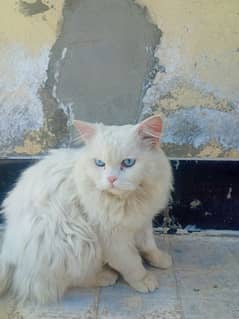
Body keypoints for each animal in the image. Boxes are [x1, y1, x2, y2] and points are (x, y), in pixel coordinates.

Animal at [0, 115, 173, 304]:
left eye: (128, 163)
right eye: (100, 163)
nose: (111, 179)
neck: (129, 199)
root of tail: (8, 251)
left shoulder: (143, 221)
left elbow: (148, 245)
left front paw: (160, 259)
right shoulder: (112, 237)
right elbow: (130, 261)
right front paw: (143, 279)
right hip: (77, 240)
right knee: (66, 281)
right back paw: (105, 276)